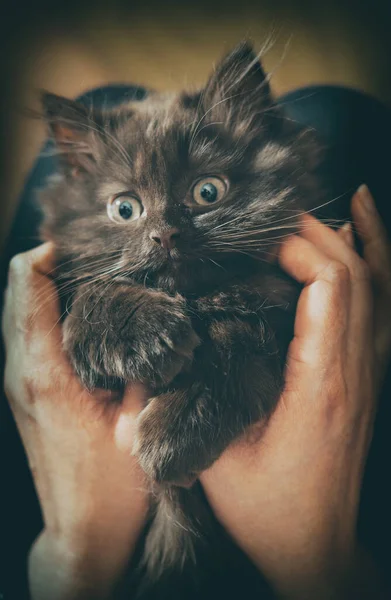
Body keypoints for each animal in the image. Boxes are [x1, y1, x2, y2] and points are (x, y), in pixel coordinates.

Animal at [38, 42, 328, 592]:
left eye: (207, 192)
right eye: (125, 209)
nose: (166, 235)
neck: (193, 301)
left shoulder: (282, 302)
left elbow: (237, 335)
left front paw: (176, 430)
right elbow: (91, 292)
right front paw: (144, 337)